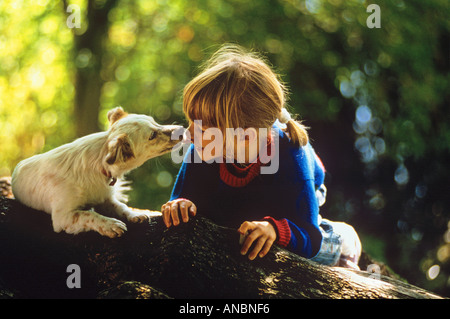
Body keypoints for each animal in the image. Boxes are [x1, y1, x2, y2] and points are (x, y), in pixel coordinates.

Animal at [12, 107, 185, 238]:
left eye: (155, 121)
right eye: (152, 135)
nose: (182, 129)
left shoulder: (106, 199)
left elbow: (121, 206)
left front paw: (134, 214)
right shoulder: (64, 217)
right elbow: (89, 215)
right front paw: (110, 224)